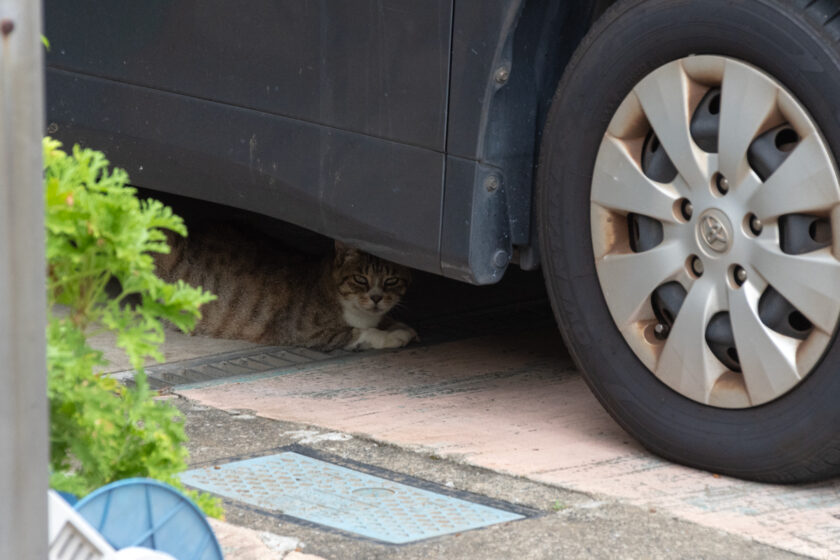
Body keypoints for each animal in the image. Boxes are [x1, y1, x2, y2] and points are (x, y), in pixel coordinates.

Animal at [154, 224, 416, 350]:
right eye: (361, 279)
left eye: (391, 280)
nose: (376, 297)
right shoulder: (309, 333)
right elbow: (362, 333)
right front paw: (394, 336)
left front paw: (401, 326)